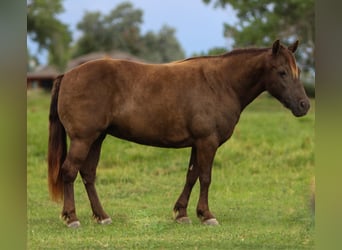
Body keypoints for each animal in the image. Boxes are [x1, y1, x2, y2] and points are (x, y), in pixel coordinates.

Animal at [47, 39, 310, 229]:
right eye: (282, 72)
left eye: (297, 70)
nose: (304, 105)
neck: (220, 83)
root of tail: (67, 75)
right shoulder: (207, 142)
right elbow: (205, 177)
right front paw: (207, 215)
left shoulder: (198, 143)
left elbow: (191, 176)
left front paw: (182, 213)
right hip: (83, 139)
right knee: (69, 171)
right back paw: (72, 218)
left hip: (97, 138)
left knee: (88, 174)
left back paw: (102, 216)